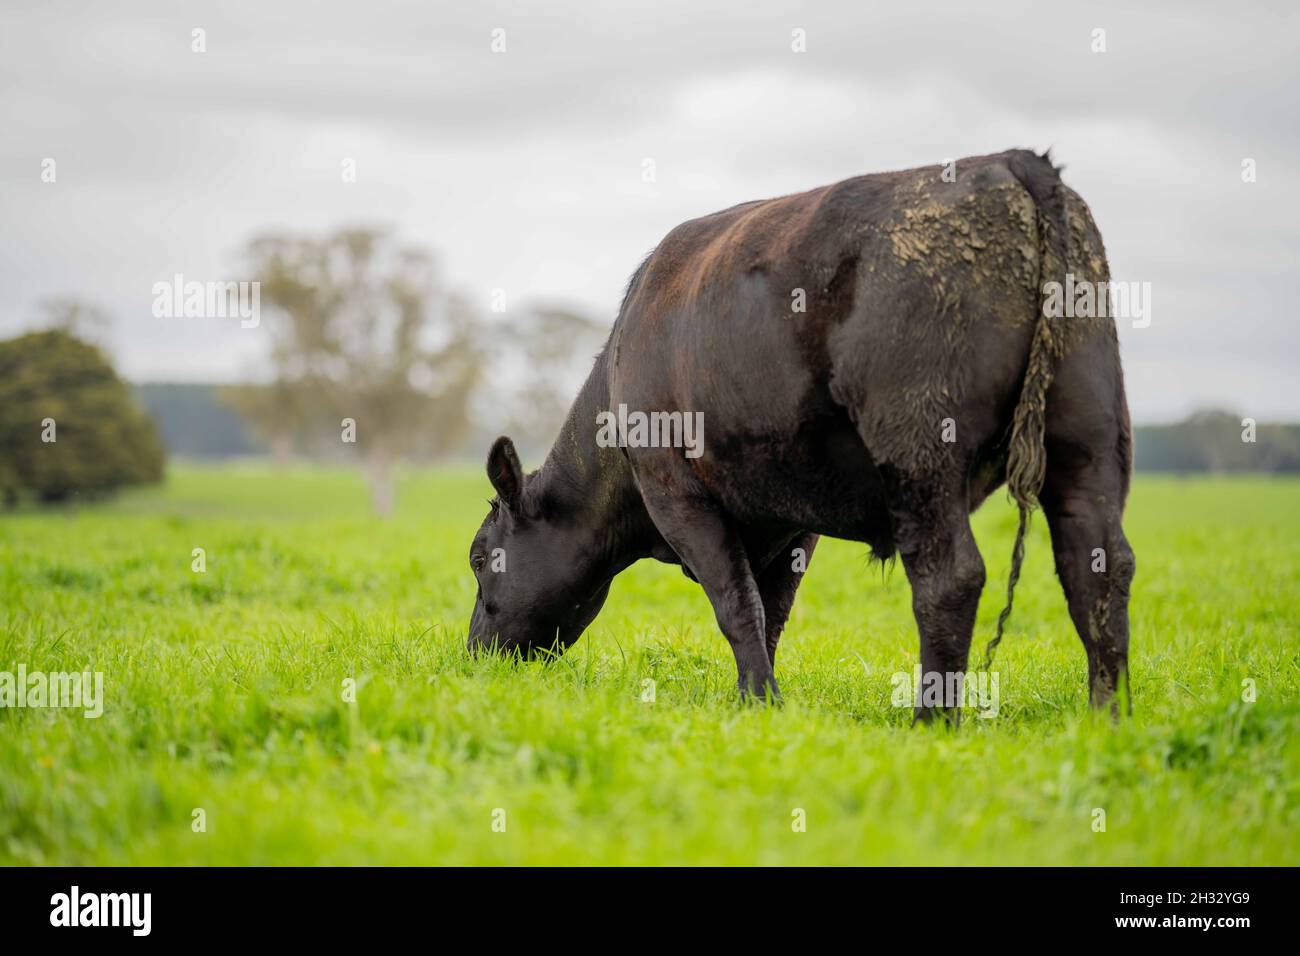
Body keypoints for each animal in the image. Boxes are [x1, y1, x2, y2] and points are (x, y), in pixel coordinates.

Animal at [467, 148, 1135, 723]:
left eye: (478, 558)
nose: (474, 655)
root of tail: (1008, 161)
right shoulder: (795, 515)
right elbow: (771, 610)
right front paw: (758, 697)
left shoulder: (677, 492)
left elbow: (736, 603)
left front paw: (759, 700)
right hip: (1090, 434)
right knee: (1100, 563)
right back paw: (1106, 719)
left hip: (921, 449)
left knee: (952, 578)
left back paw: (930, 720)